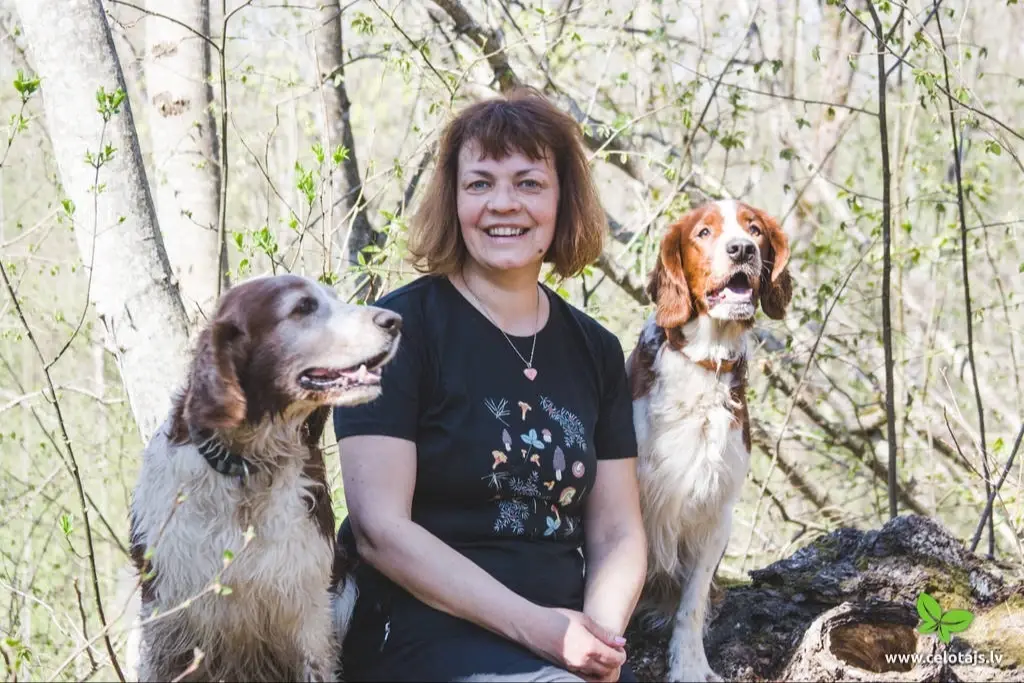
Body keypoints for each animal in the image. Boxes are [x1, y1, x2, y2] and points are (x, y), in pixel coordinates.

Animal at [622, 200, 790, 679]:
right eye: (703, 232)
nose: (742, 250)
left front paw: (690, 664)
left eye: (755, 229)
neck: (703, 362)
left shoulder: (717, 510)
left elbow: (692, 602)